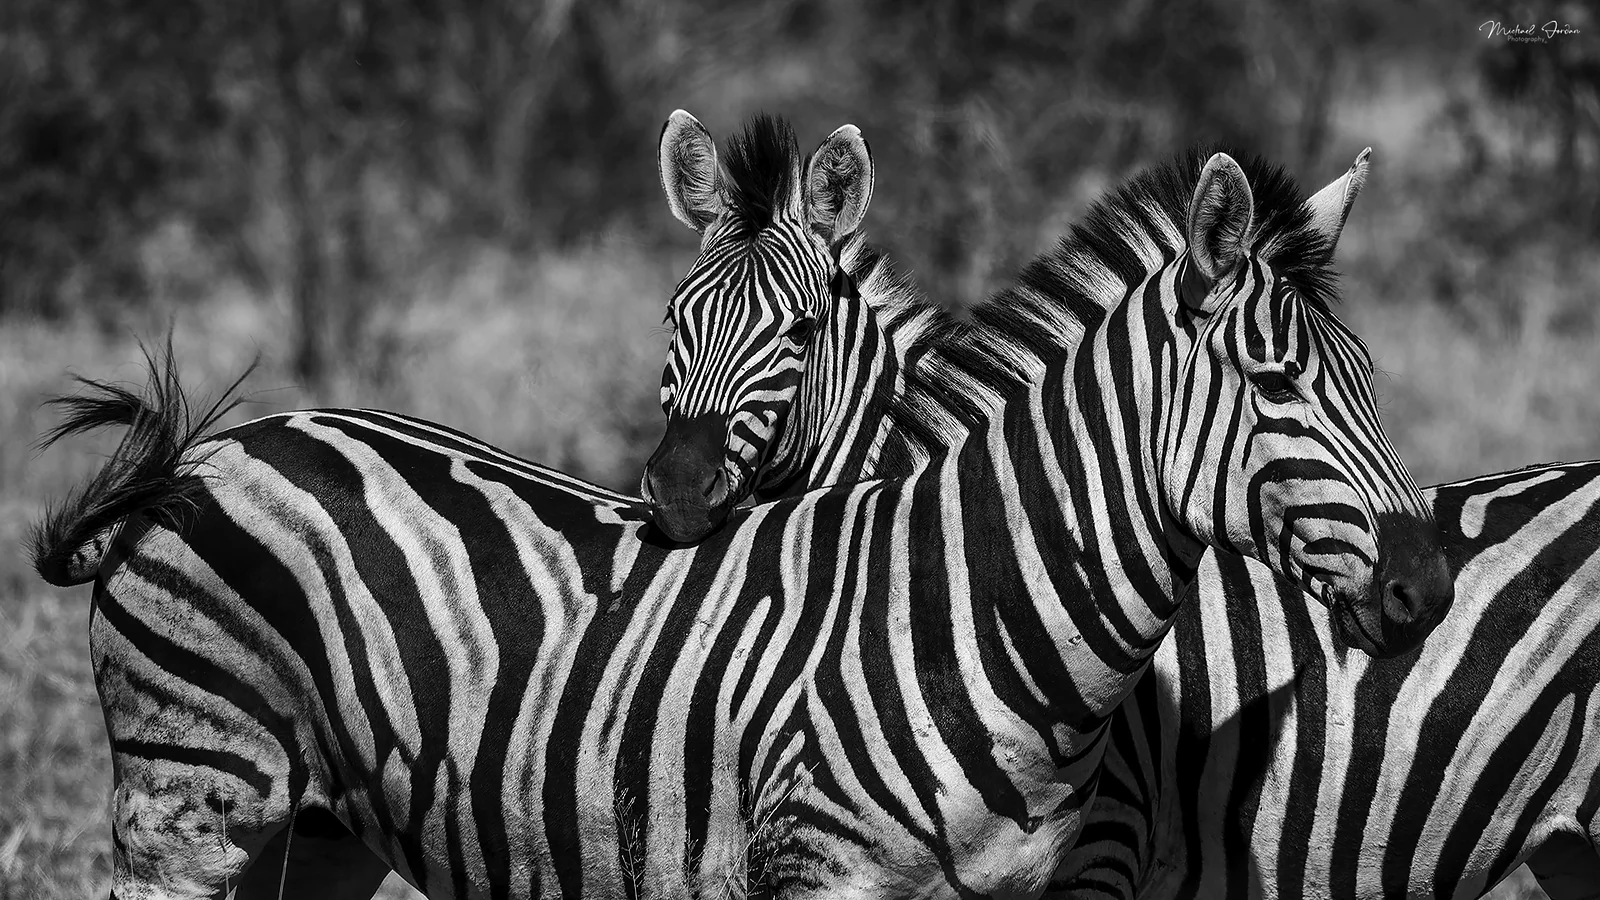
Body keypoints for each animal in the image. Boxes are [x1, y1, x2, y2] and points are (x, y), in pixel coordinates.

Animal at [32, 123, 1450, 900]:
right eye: (1274, 386)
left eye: (1370, 382)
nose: (1423, 590)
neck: (979, 603)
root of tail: (217, 449)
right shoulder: (814, 874)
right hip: (184, 808)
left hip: (315, 834)